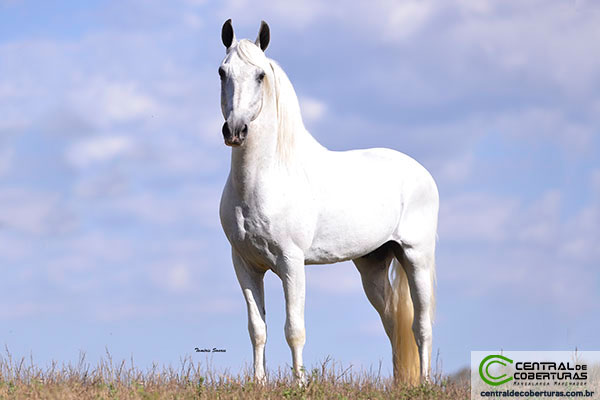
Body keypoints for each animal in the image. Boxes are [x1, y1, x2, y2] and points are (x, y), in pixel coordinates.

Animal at [218, 20, 438, 386]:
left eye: (260, 75)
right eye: (222, 72)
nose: (235, 131)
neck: (269, 176)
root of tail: (421, 172)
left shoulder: (291, 263)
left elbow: (294, 328)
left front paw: (299, 384)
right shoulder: (244, 264)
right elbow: (257, 328)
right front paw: (259, 382)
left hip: (416, 257)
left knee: (421, 325)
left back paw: (423, 383)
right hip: (372, 265)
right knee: (393, 323)